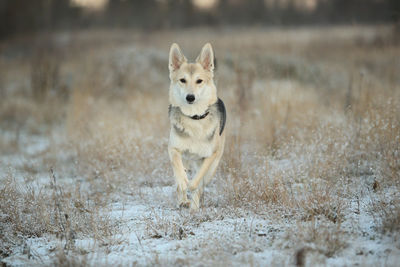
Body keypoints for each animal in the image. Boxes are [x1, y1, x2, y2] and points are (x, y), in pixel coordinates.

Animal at [167, 43, 227, 211]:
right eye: (182, 80)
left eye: (199, 81)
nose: (190, 97)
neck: (194, 118)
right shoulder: (173, 149)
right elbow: (179, 173)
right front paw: (183, 184)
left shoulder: (210, 156)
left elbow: (197, 181)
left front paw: (191, 187)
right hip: (186, 159)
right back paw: (183, 200)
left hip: (213, 167)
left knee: (201, 183)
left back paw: (193, 206)